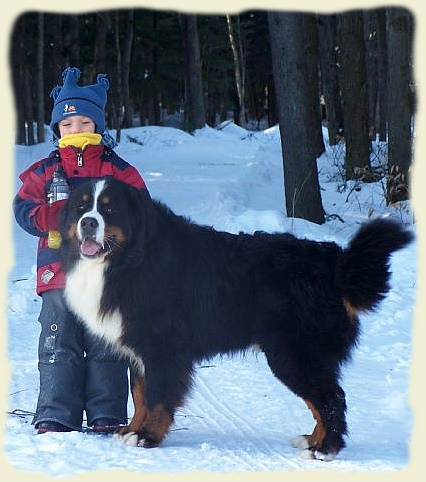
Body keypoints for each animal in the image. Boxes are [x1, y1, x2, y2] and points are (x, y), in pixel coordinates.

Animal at [59, 177, 412, 460]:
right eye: (82, 206)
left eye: (109, 210)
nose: (88, 223)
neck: (130, 259)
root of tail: (335, 264)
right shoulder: (138, 349)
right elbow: (141, 394)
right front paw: (131, 429)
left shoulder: (162, 349)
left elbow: (158, 397)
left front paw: (147, 436)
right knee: (321, 401)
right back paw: (312, 439)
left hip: (293, 354)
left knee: (330, 398)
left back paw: (326, 448)